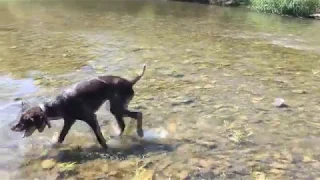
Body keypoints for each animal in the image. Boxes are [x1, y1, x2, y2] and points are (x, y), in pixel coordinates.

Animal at [10, 64, 146, 148]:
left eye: (24, 121)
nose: (12, 128)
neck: (58, 104)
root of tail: (130, 82)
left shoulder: (91, 118)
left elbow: (99, 138)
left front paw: (105, 147)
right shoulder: (69, 122)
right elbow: (60, 137)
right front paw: (54, 146)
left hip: (116, 108)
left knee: (138, 114)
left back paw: (139, 132)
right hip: (115, 108)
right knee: (123, 124)